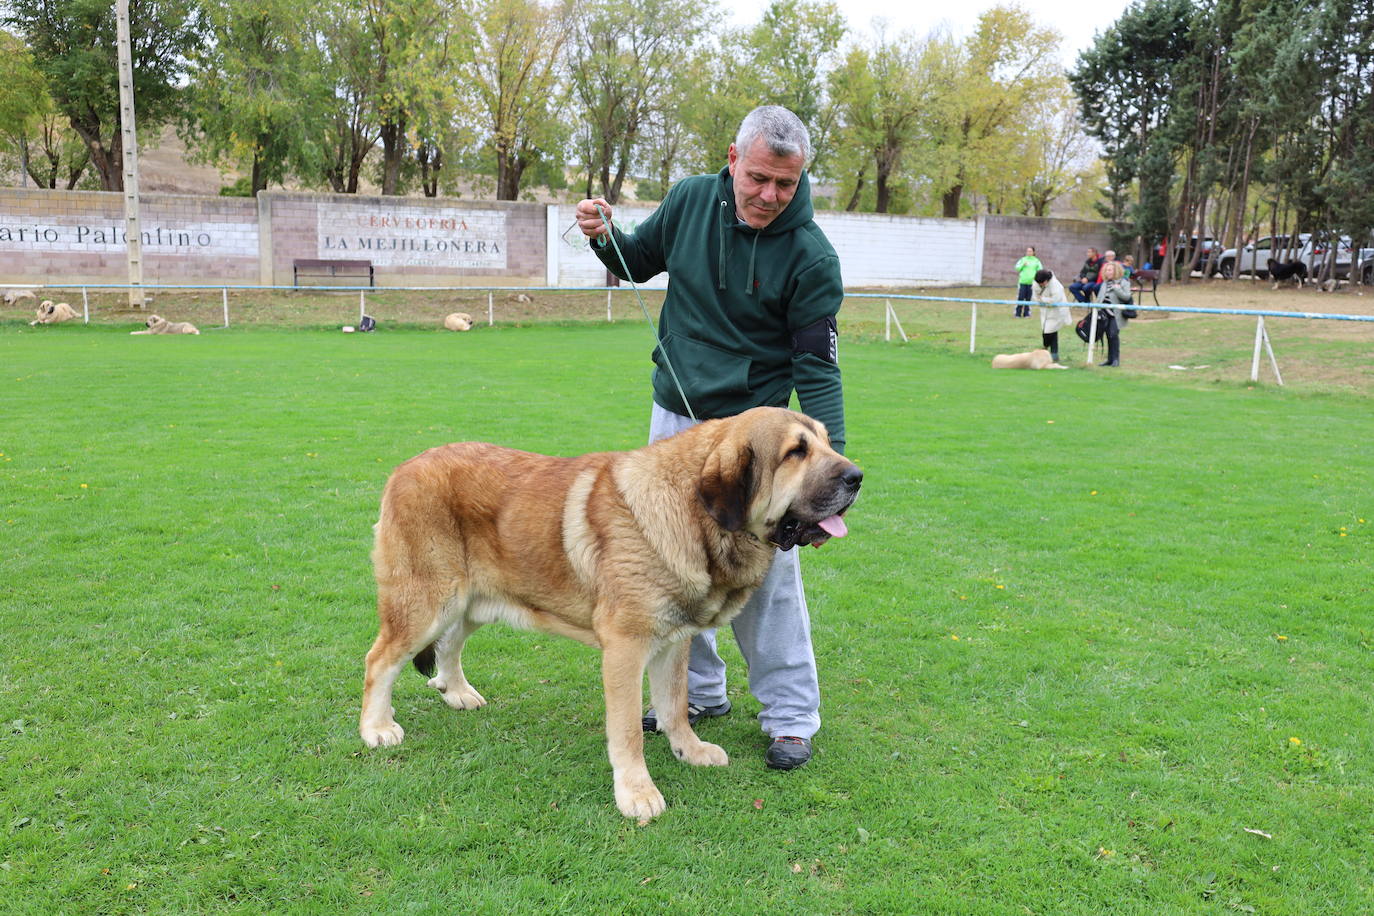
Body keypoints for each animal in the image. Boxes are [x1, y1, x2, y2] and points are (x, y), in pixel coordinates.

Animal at [359, 403, 862, 818]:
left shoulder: (675, 642)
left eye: (826, 442)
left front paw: (690, 751)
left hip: (472, 602)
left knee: (449, 645)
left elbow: (675, 706)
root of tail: (406, 467)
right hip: (427, 601)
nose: (856, 476)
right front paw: (637, 793)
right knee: (379, 660)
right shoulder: (625, 649)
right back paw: (377, 728)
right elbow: (628, 731)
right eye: (795, 452)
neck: (693, 515)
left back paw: (456, 691)